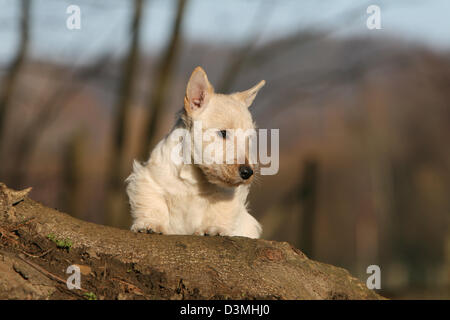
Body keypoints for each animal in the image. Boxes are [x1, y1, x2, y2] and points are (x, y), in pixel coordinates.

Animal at [125, 67, 266, 238]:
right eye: (223, 133)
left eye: (249, 138)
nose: (248, 172)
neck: (195, 176)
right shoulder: (149, 179)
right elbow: (153, 203)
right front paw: (150, 224)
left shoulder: (226, 195)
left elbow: (220, 211)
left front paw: (214, 229)